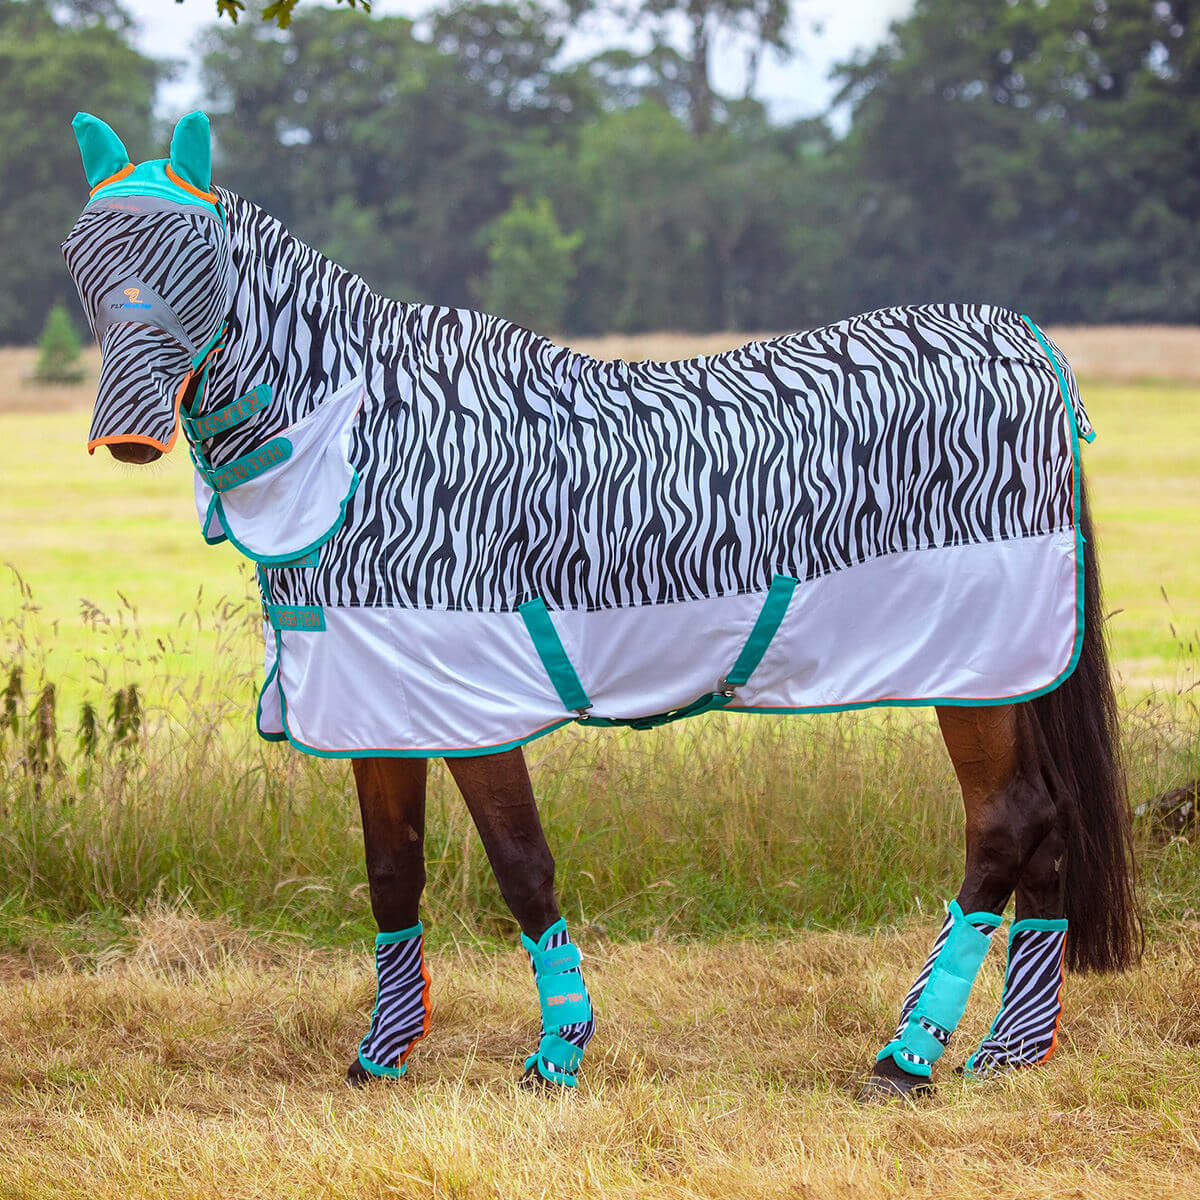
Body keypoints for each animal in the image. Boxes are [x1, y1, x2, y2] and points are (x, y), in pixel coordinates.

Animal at [61, 110, 1139, 1097]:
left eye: (197, 257)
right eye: (78, 254)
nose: (126, 434)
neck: (368, 448)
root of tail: (1027, 343)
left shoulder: (475, 704)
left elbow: (521, 865)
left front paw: (558, 1055)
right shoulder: (377, 700)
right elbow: (392, 871)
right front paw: (381, 1058)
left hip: (972, 670)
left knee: (1005, 822)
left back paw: (906, 1057)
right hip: (1008, 674)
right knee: (1050, 825)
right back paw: (1007, 1052)